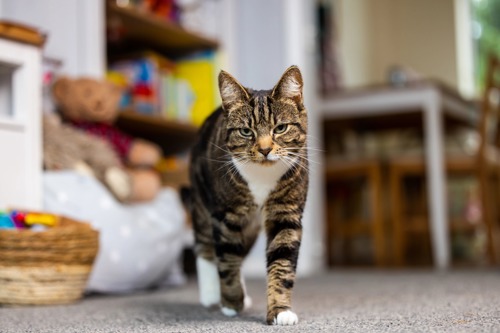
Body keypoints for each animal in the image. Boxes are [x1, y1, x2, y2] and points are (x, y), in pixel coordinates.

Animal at [187, 65, 306, 324]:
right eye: (245, 131)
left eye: (280, 128)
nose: (265, 149)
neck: (262, 177)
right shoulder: (226, 216)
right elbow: (227, 259)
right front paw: (232, 302)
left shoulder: (286, 214)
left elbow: (282, 262)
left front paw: (280, 311)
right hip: (201, 202)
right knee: (206, 248)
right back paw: (212, 296)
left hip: (251, 228)